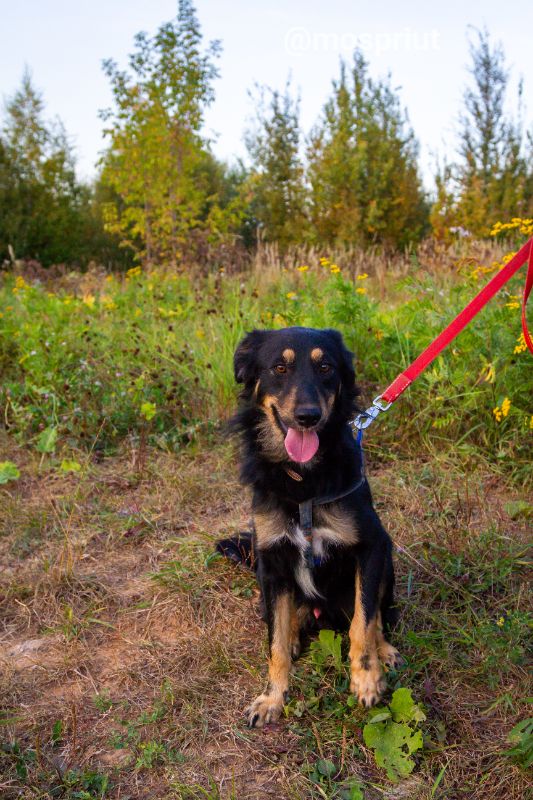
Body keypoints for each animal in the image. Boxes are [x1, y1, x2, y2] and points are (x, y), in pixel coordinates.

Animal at [216, 328, 400, 728]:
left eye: (326, 367)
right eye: (279, 368)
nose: (307, 417)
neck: (303, 481)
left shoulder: (372, 546)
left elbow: (364, 621)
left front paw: (367, 679)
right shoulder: (271, 558)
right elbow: (275, 644)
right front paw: (272, 697)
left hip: (388, 560)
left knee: (377, 613)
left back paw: (384, 650)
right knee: (285, 616)